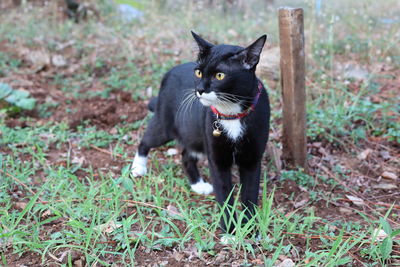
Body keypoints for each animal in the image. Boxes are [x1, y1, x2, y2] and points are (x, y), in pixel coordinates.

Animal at [133, 31, 270, 232]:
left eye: (220, 75)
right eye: (198, 72)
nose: (199, 89)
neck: (232, 114)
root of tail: (169, 72)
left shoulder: (252, 158)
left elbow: (250, 194)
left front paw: (250, 230)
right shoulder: (217, 159)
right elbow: (224, 194)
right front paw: (230, 231)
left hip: (195, 135)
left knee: (186, 154)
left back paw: (198, 185)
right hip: (165, 124)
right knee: (146, 140)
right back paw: (138, 167)